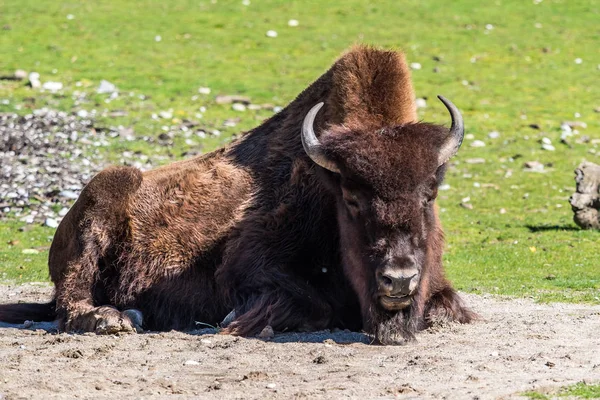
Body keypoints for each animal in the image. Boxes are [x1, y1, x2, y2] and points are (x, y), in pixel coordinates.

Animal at [2, 44, 476, 344]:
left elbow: (448, 306)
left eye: (430, 193)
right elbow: (309, 304)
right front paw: (235, 317)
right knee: (70, 303)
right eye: (352, 198)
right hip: (104, 194)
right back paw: (117, 319)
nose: (399, 279)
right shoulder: (246, 265)